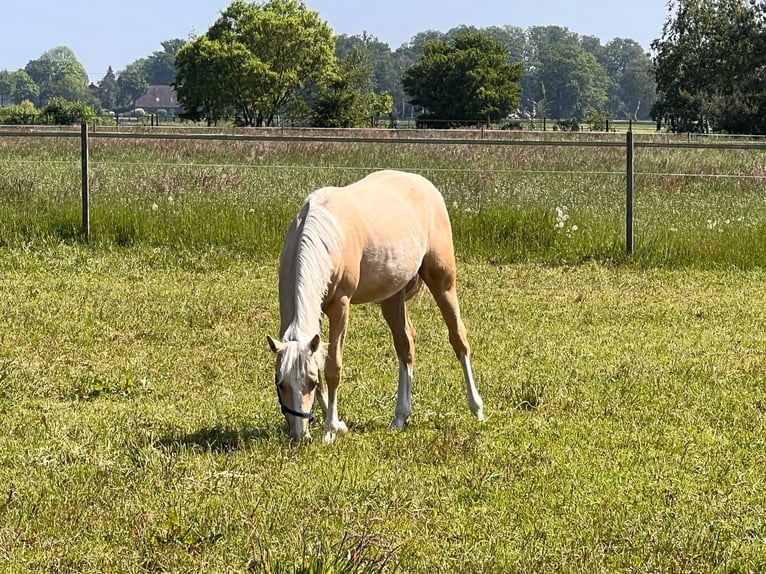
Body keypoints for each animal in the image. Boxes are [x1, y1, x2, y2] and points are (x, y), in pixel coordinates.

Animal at [268, 169, 486, 444]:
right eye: (280, 383)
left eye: (310, 382)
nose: (298, 435)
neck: (326, 234)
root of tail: (425, 184)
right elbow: (319, 357)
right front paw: (336, 423)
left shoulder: (340, 306)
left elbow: (333, 367)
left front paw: (330, 430)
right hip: (392, 296)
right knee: (405, 345)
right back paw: (400, 417)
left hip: (442, 280)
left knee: (458, 338)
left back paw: (477, 408)